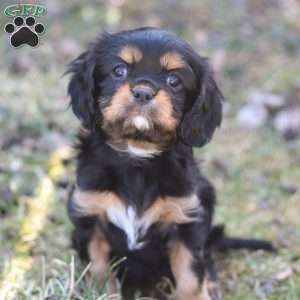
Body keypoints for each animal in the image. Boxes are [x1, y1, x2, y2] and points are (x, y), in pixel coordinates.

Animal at [67, 28, 274, 300]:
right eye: (119, 70)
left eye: (174, 80)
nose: (143, 92)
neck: (138, 154)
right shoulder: (91, 216)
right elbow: (99, 270)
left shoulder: (185, 222)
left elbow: (190, 277)